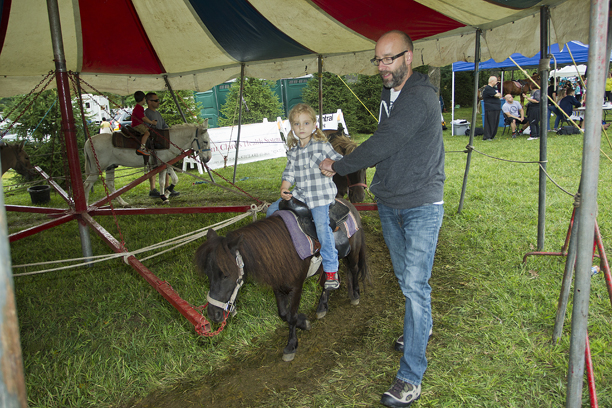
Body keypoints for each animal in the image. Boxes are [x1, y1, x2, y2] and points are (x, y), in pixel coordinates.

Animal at [196, 199, 368, 362]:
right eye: (208, 274)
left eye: (226, 274)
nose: (213, 314)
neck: (283, 247)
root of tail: (349, 205)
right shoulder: (278, 286)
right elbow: (284, 314)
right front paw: (304, 322)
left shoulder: (297, 287)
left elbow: (291, 316)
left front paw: (291, 346)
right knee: (328, 280)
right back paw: (322, 307)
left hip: (353, 253)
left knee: (354, 270)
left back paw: (355, 295)